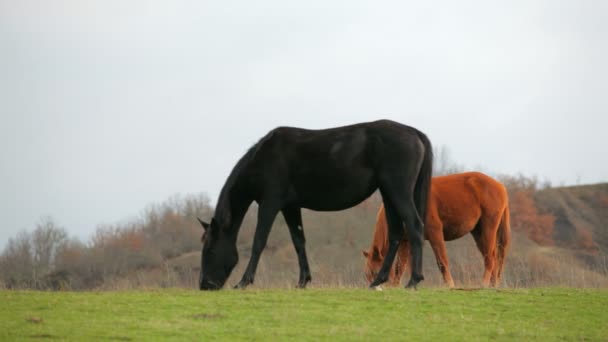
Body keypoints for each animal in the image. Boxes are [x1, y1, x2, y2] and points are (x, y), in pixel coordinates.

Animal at [197, 119, 430, 290]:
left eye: (210, 249)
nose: (204, 285)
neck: (263, 159)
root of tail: (413, 132)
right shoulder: (290, 207)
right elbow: (298, 241)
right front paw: (303, 281)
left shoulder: (270, 203)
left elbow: (259, 241)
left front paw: (244, 281)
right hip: (388, 194)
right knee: (396, 233)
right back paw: (378, 280)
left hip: (398, 192)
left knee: (415, 226)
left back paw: (413, 280)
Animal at [364, 172, 510, 288]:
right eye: (367, 275)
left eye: (375, 272)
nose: (374, 287)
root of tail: (501, 186)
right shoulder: (405, 241)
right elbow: (401, 265)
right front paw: (397, 286)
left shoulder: (435, 233)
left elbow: (442, 261)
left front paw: (450, 285)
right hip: (478, 233)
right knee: (492, 258)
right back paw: (492, 285)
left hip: (487, 230)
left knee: (490, 258)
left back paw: (484, 284)